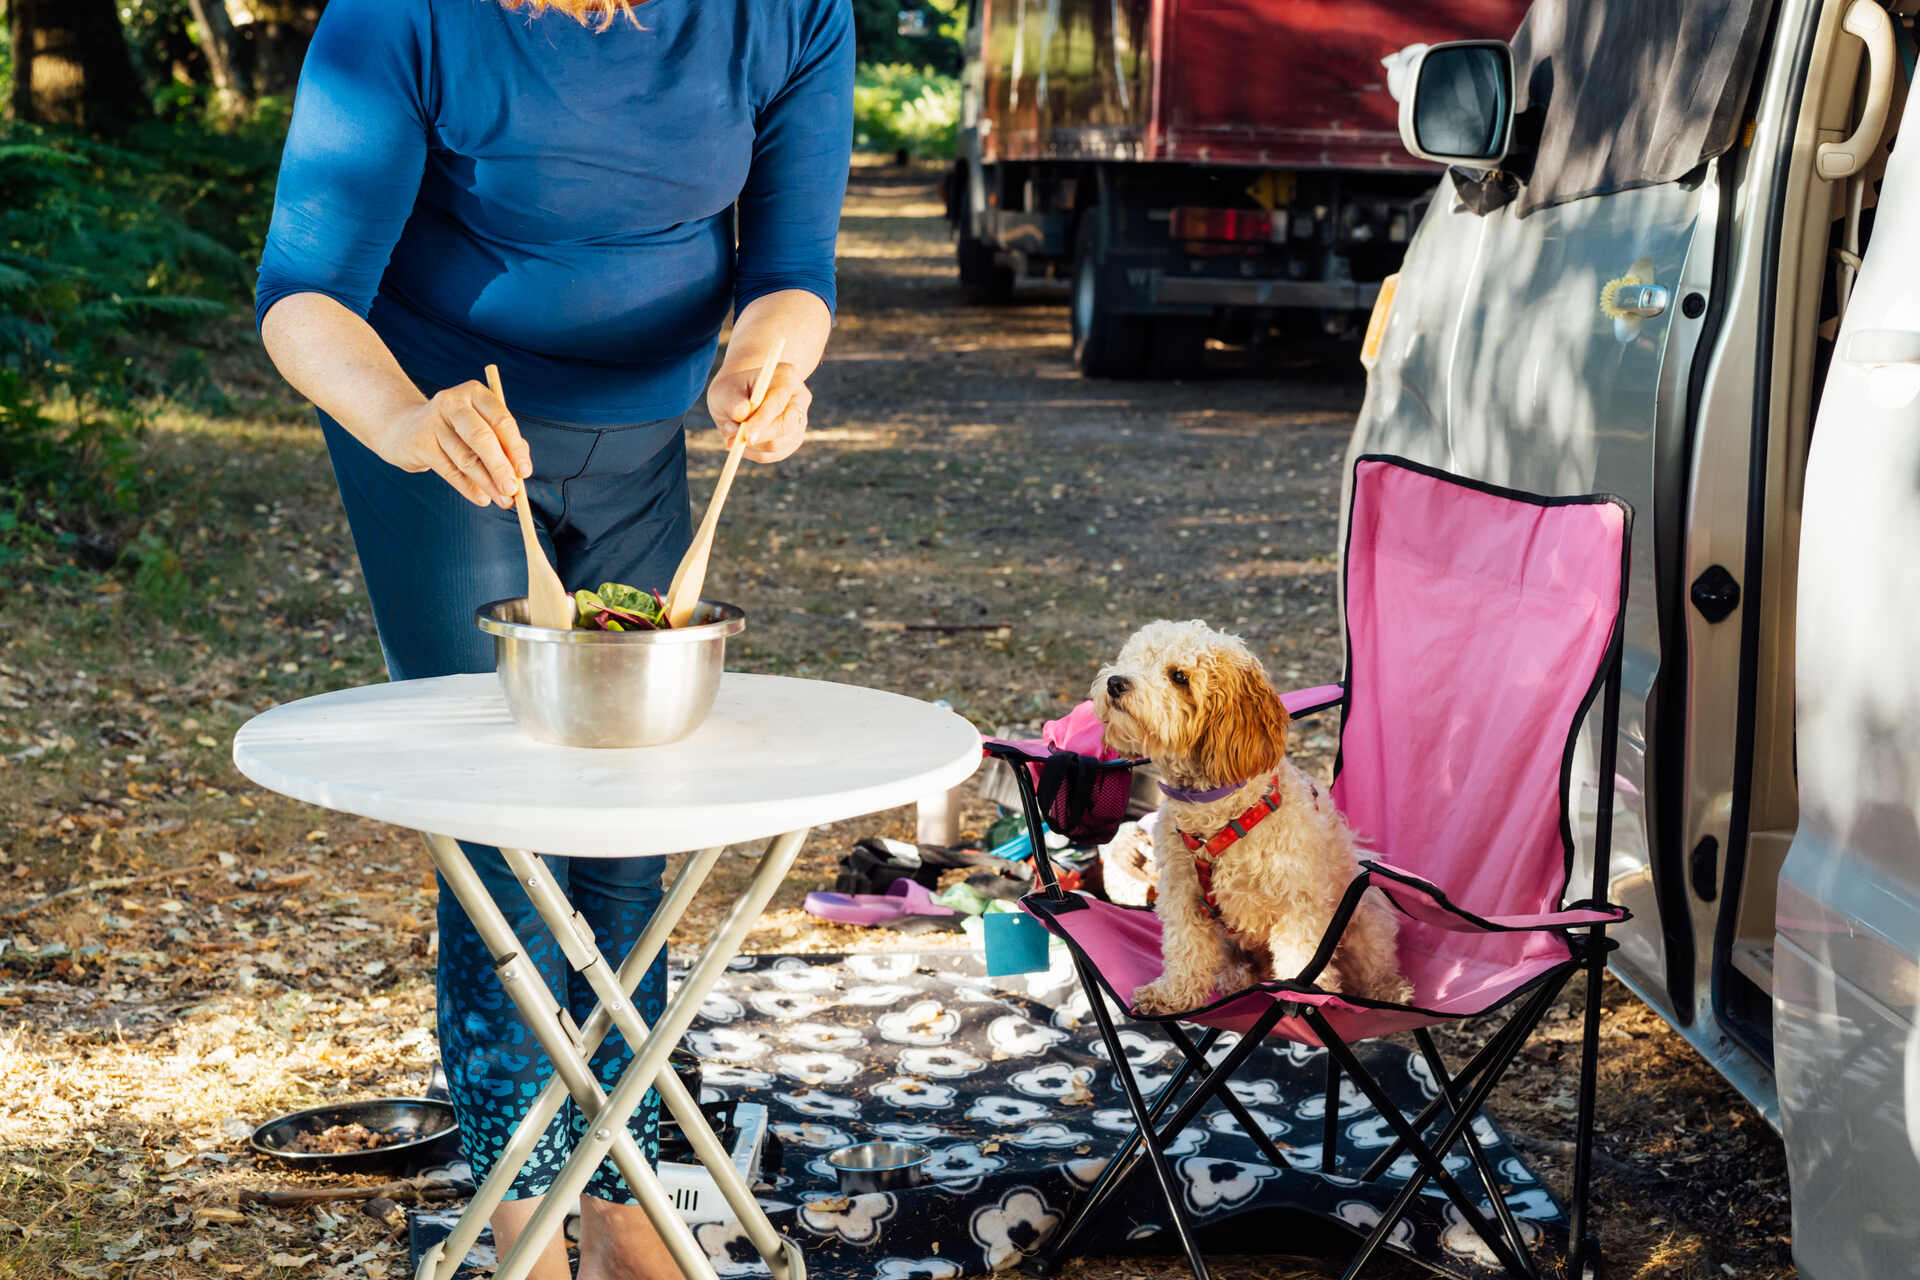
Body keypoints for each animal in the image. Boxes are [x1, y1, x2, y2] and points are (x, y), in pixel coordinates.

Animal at [1098, 614, 1413, 1013]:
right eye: (1134, 659)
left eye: (1179, 676)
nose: (1115, 682)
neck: (1217, 810)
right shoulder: (1183, 895)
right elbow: (1185, 950)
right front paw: (1173, 994)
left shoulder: (1297, 903)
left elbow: (1301, 957)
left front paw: (1301, 994)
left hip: (1365, 915)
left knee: (1375, 963)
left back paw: (1388, 991)